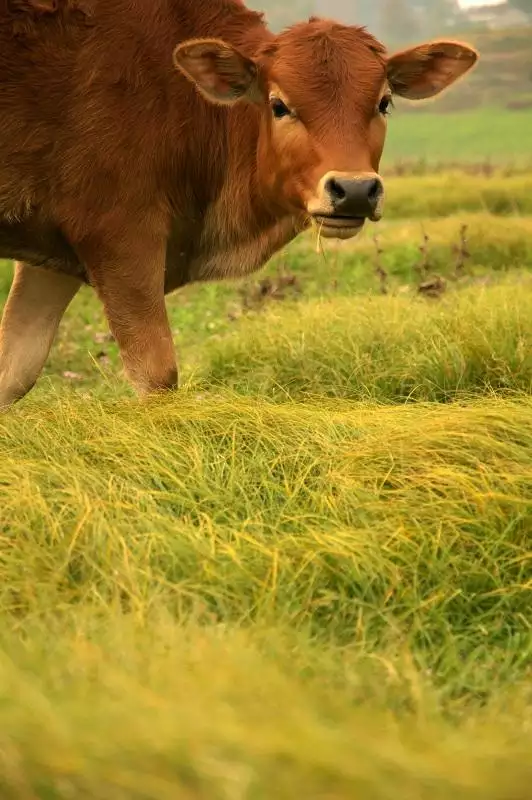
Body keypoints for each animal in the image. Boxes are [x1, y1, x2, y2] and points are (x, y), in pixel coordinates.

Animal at [0, 0, 476, 410]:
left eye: (384, 102)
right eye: (279, 105)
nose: (355, 190)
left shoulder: (54, 253)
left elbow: (14, 370)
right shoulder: (120, 236)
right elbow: (157, 375)